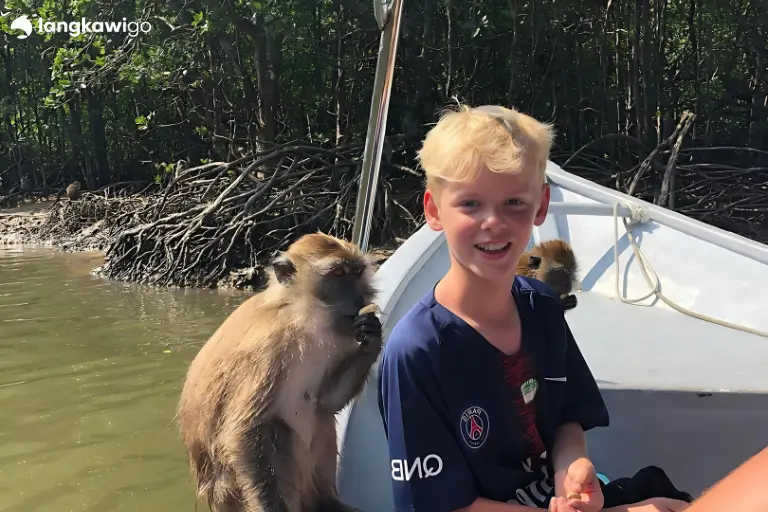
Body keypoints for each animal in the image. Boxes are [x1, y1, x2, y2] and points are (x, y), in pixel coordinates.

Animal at [176, 232, 382, 512]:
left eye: (357, 271)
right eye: (339, 273)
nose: (360, 298)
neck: (299, 315)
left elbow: (326, 402)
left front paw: (372, 337)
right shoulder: (267, 351)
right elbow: (244, 432)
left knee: (320, 416)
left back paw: (325, 502)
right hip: (231, 491)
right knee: (278, 430)